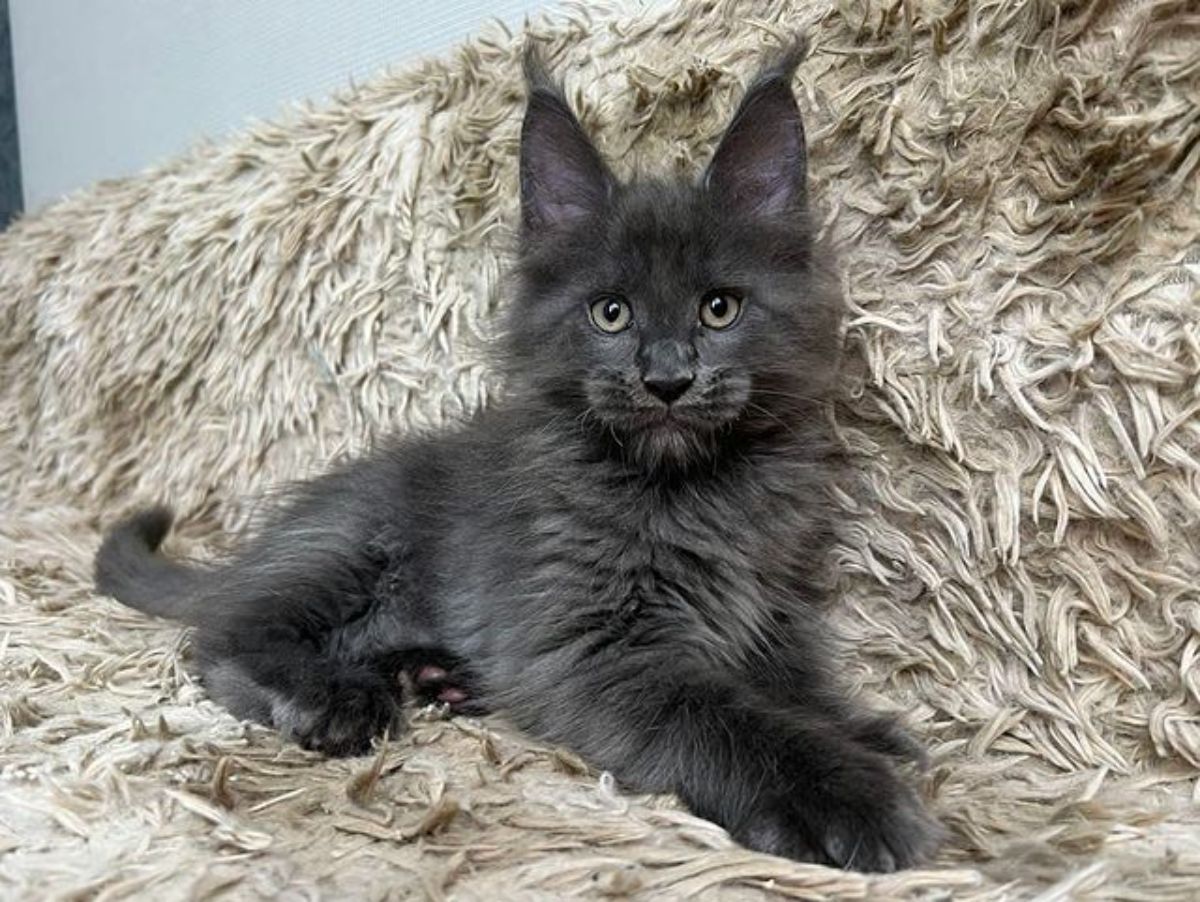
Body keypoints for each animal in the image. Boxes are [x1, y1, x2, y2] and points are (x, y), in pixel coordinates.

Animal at [93, 45, 940, 868]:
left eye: (720, 307)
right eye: (611, 313)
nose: (667, 378)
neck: (695, 487)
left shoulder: (773, 602)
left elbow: (794, 685)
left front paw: (865, 732)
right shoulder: (589, 643)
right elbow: (721, 716)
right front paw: (845, 794)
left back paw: (435, 675)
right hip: (349, 547)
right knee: (223, 634)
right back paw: (336, 694)